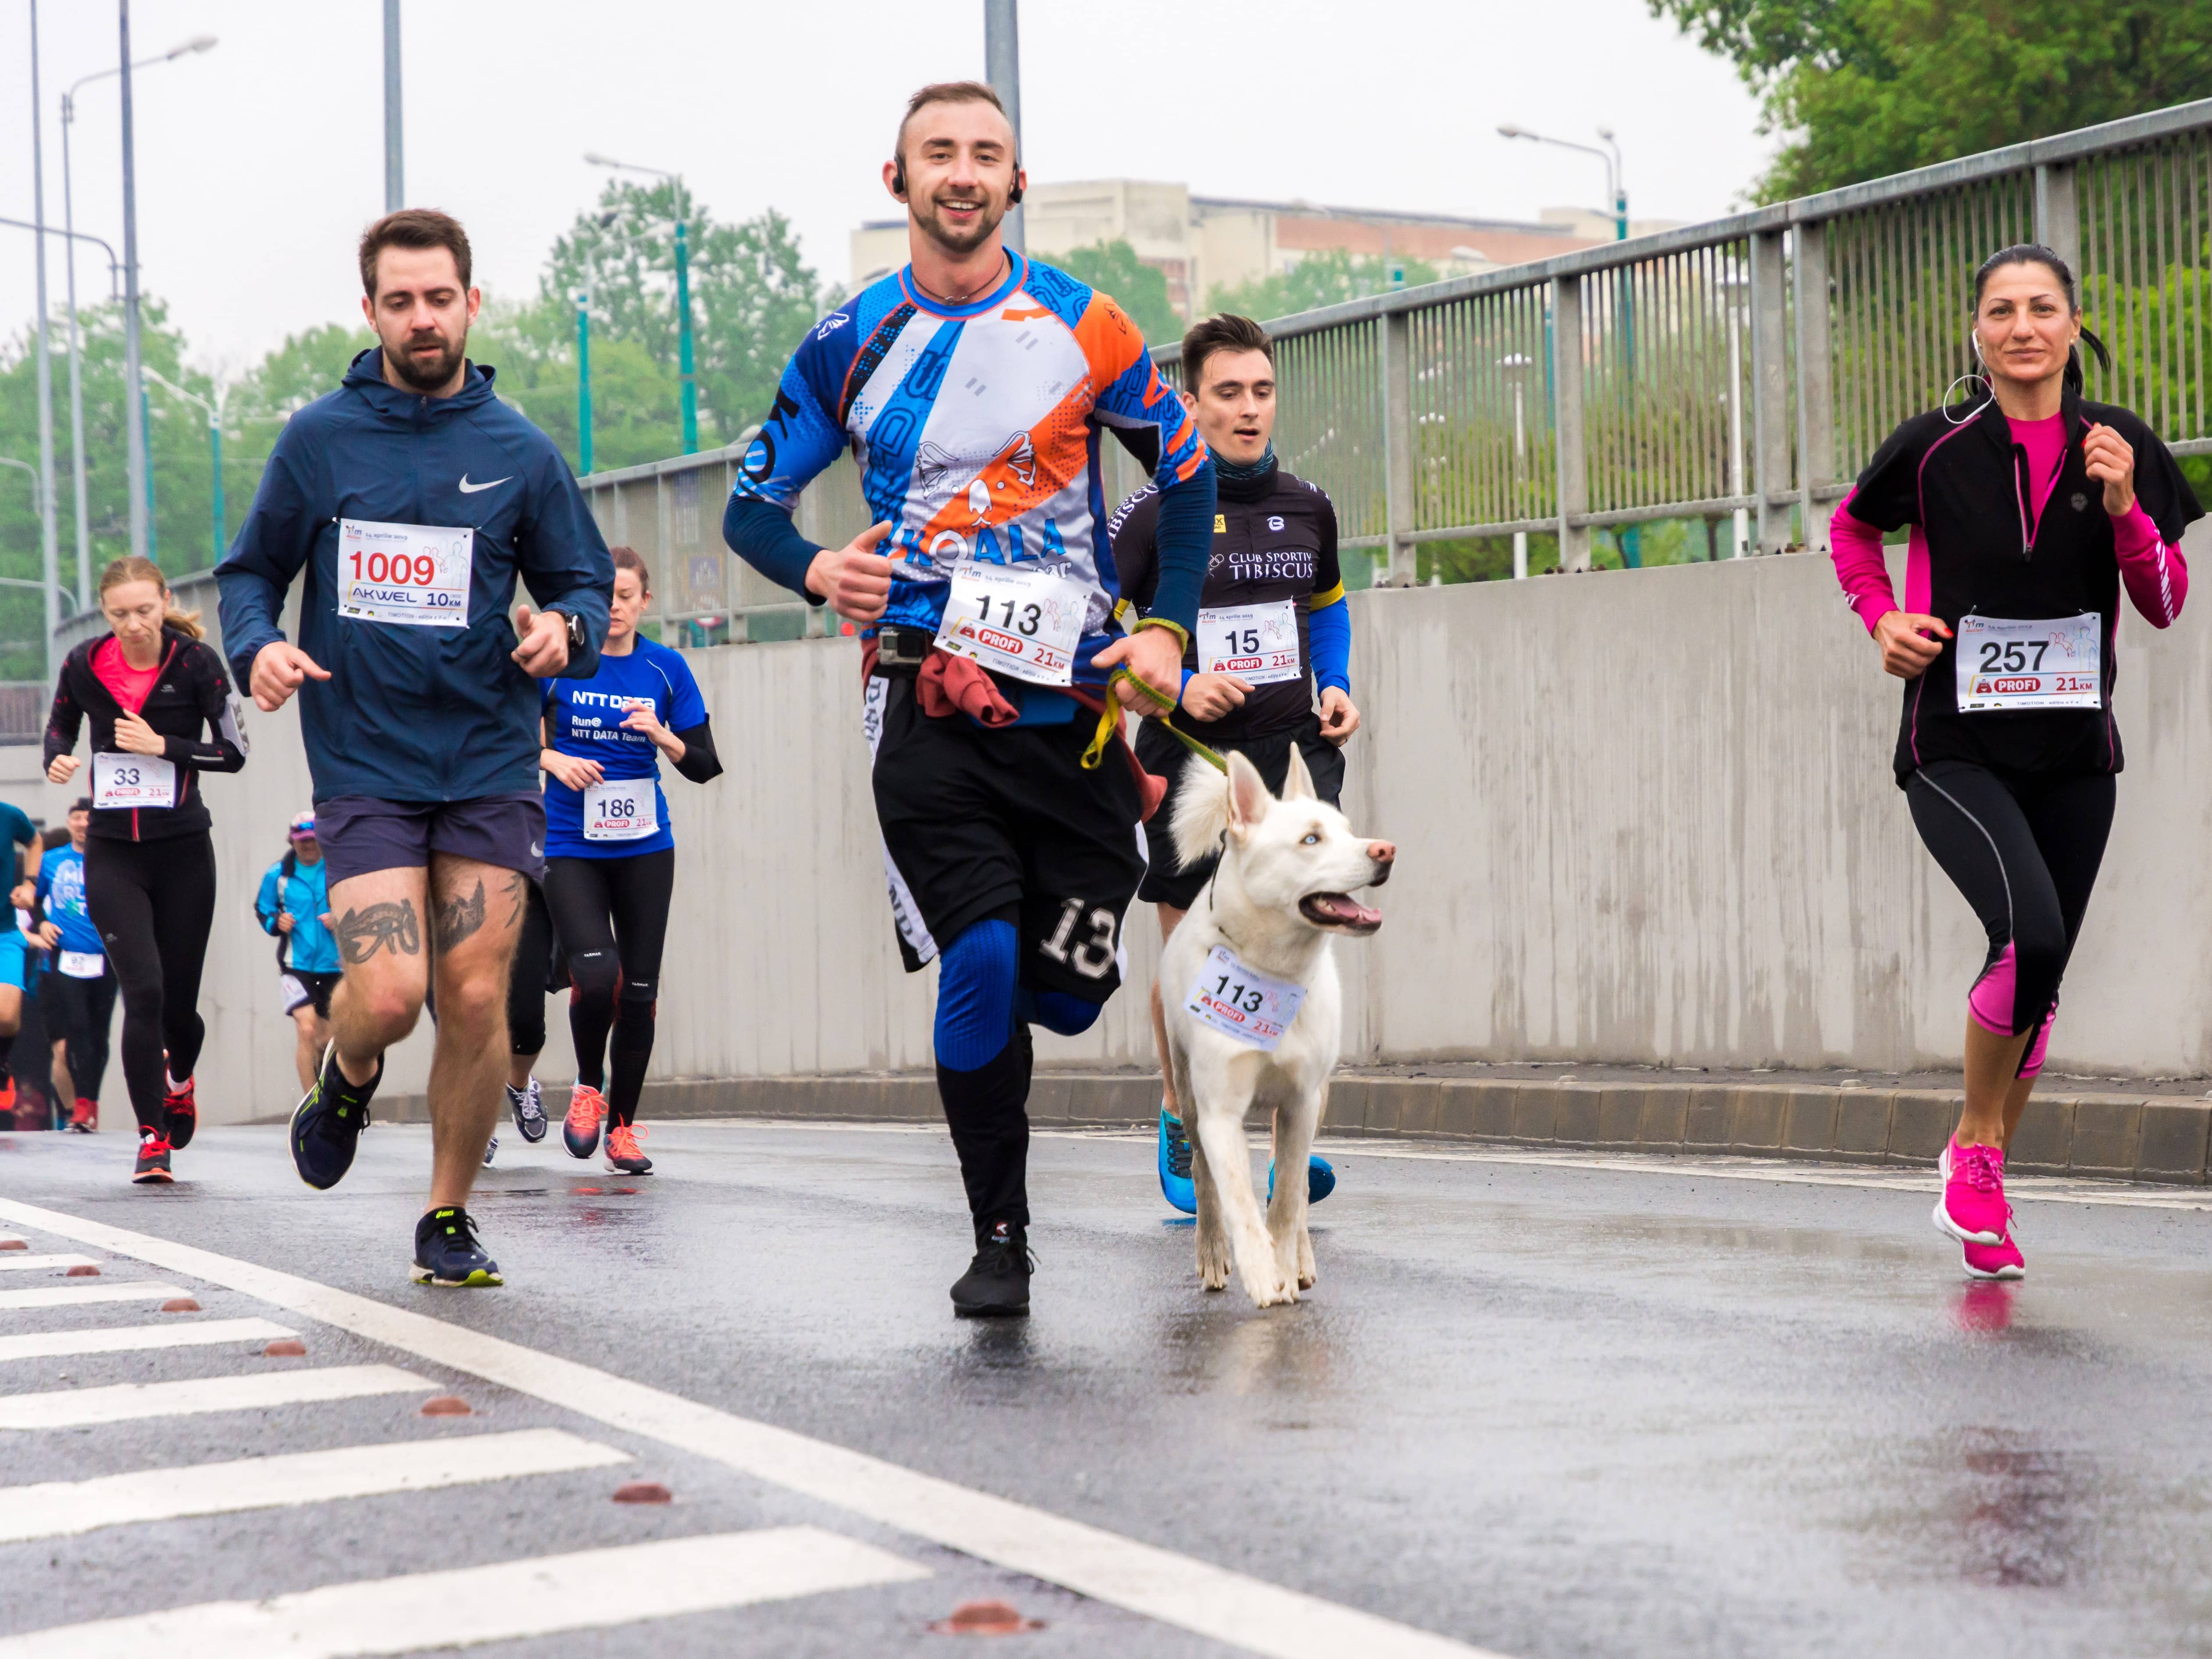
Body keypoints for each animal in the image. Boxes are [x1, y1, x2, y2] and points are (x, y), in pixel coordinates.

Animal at [1159, 743, 1398, 1309]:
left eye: (1348, 829)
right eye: (1311, 839)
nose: (1386, 850)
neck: (1273, 973)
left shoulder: (1300, 1102)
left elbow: (1288, 1196)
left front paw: (1286, 1267)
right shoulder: (1220, 1111)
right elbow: (1240, 1199)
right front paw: (1260, 1271)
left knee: (1300, 1189)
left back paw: (1302, 1260)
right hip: (1187, 1089)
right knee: (1203, 1177)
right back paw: (1212, 1250)